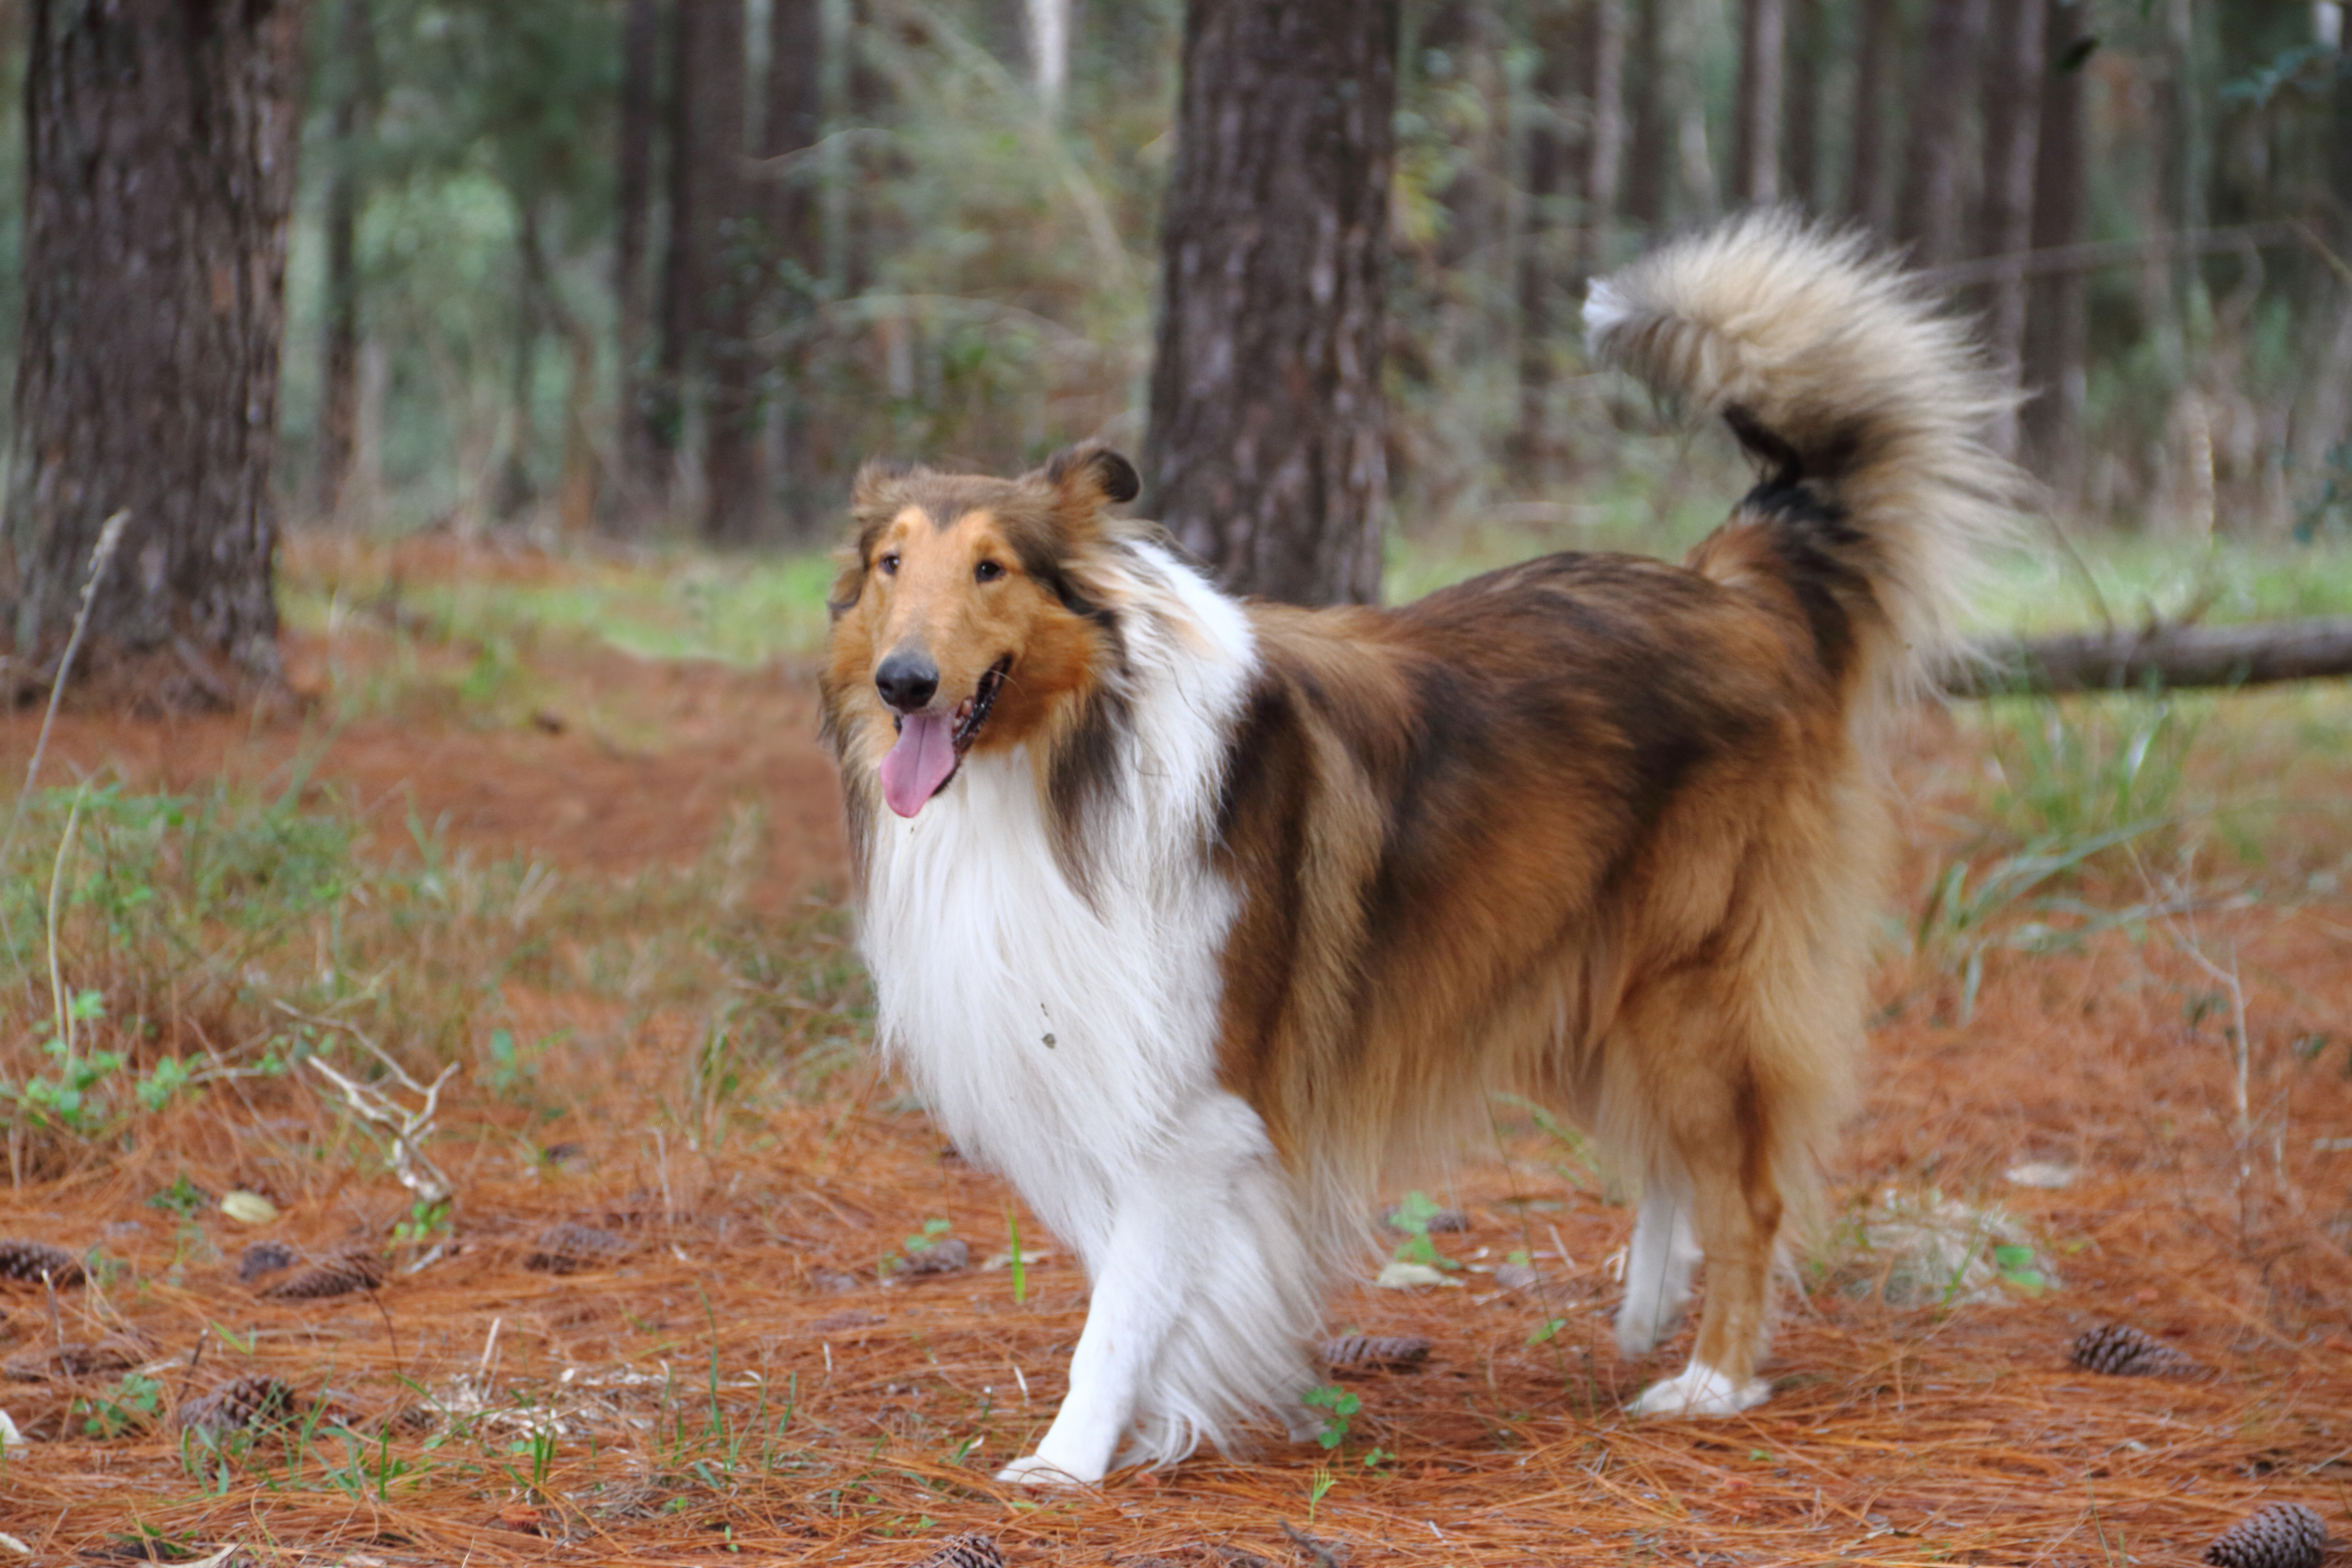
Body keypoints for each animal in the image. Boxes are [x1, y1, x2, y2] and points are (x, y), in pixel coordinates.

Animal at [818, 217, 2013, 1485]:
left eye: (990, 567)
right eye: (891, 564)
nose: (904, 683)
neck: (1063, 764)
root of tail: (1729, 583)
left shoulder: (1193, 1099)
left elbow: (1126, 1303)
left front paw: (1067, 1460)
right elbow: (1140, 1281)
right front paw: (1181, 1417)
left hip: (1691, 985)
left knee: (1747, 1189)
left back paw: (1713, 1379)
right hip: (1570, 975)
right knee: (1670, 1158)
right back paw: (1650, 1309)